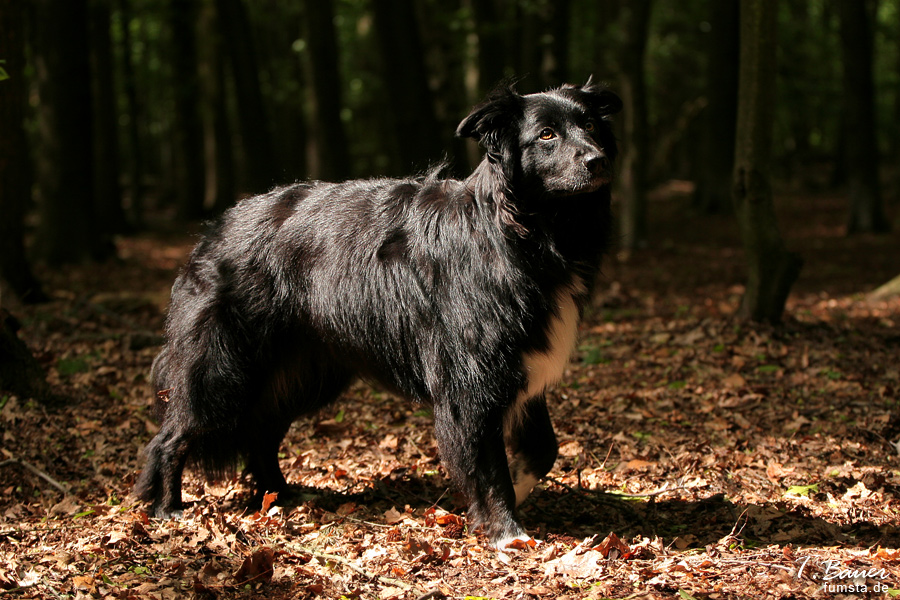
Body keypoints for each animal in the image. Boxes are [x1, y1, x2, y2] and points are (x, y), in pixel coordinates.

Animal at [137, 82, 624, 552]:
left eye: (590, 127)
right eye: (546, 135)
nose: (598, 161)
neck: (519, 231)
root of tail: (216, 229)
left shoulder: (523, 366)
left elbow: (544, 449)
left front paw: (516, 494)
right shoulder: (471, 381)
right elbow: (487, 466)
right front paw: (507, 531)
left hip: (305, 373)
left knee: (261, 431)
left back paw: (280, 496)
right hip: (224, 370)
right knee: (171, 437)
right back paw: (166, 509)